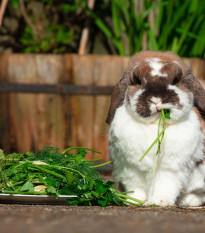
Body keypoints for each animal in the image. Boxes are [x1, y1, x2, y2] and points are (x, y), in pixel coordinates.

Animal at [106, 51, 205, 208]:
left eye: (175, 80)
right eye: (138, 81)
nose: (156, 99)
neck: (154, 124)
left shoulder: (167, 169)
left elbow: (163, 186)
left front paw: (159, 202)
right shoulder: (131, 168)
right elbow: (136, 187)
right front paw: (133, 201)